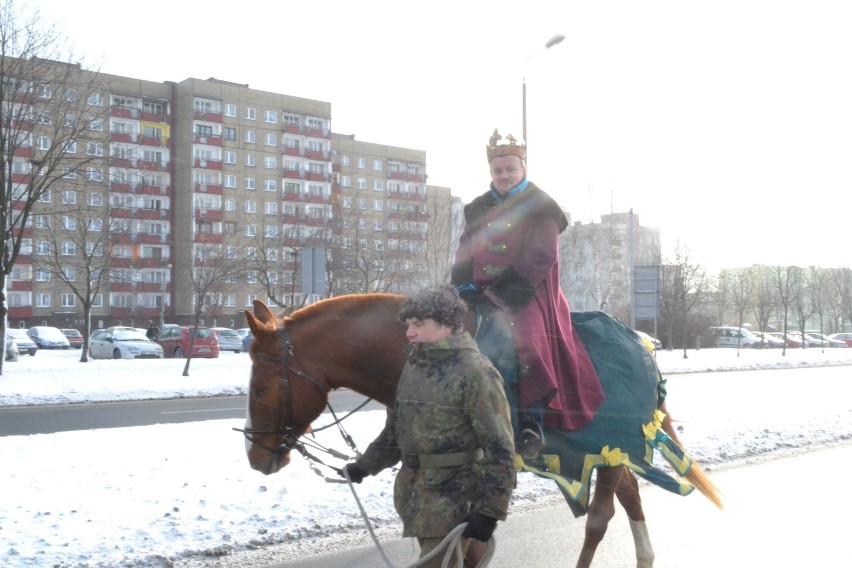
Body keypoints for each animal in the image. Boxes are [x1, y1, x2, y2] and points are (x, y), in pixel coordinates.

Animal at [241, 296, 724, 564]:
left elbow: (468, 547)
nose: (256, 456)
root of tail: (642, 345)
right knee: (629, 496)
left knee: (599, 519)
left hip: (612, 449)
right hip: (611, 453)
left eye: (261, 386)